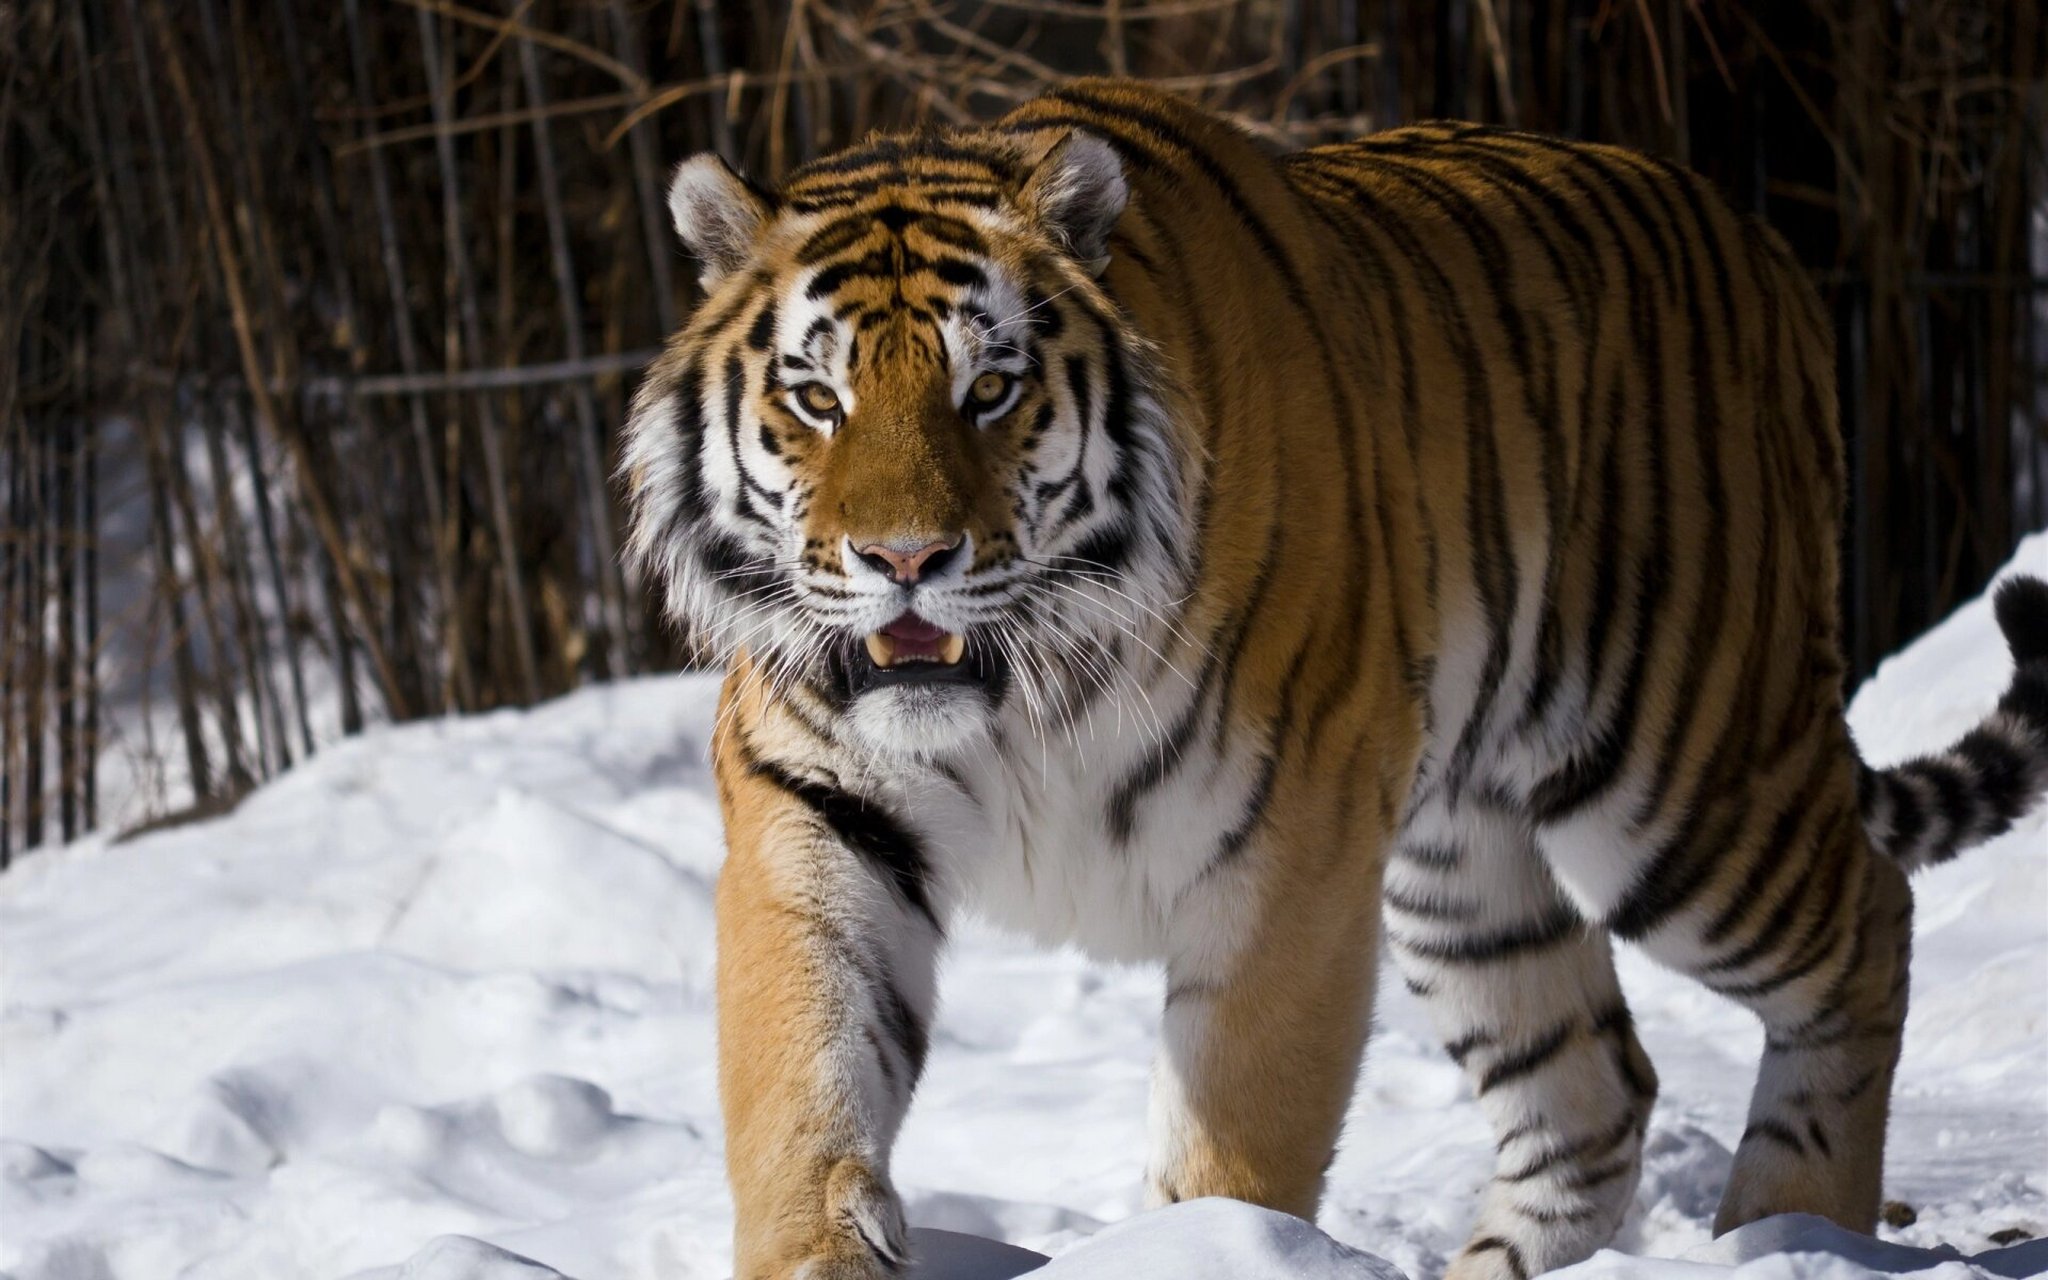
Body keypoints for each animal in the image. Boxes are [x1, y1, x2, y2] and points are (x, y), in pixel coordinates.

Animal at [618, 77, 2048, 1277]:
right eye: (816, 396)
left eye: (991, 388)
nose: (905, 558)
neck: (1023, 692)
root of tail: (1767, 250)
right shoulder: (817, 813)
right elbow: (802, 1077)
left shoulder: (1286, 848)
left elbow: (1235, 1135)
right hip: (1462, 862)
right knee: (1590, 1090)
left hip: (1678, 777)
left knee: (1865, 924)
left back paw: (1789, 1228)